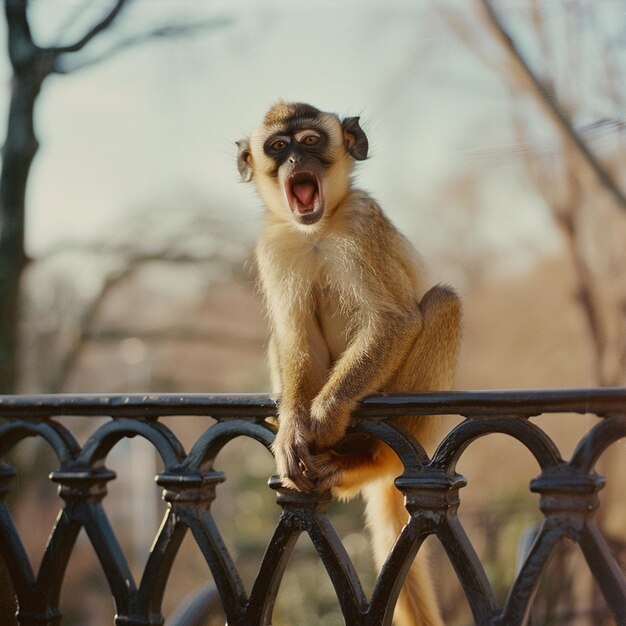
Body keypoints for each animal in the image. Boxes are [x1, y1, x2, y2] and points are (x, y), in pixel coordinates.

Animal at [236, 101, 460, 624]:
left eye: (310, 141)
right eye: (278, 147)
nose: (296, 161)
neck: (317, 229)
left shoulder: (361, 222)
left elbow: (395, 320)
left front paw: (322, 418)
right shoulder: (274, 246)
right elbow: (295, 340)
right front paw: (292, 430)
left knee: (443, 302)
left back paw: (365, 458)